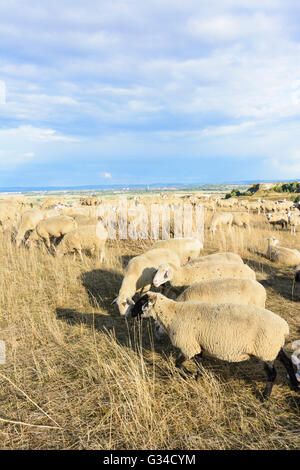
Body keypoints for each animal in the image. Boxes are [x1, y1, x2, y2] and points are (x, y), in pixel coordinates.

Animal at [131, 294, 300, 400]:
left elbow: (178, 363)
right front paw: (198, 377)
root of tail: (284, 327)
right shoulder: (197, 345)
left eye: (140, 302)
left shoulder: (188, 345)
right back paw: (295, 385)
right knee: (287, 362)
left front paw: (189, 375)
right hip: (274, 348)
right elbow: (198, 363)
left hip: (266, 349)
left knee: (272, 374)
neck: (172, 314)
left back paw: (265, 397)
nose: (131, 313)